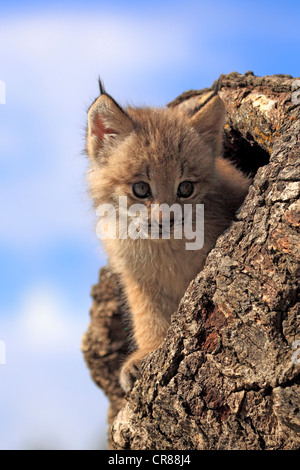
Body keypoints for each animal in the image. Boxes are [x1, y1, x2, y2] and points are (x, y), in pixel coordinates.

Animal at [85, 81, 251, 392]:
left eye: (186, 188)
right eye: (140, 188)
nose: (166, 221)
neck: (164, 244)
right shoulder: (137, 277)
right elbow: (147, 315)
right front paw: (147, 351)